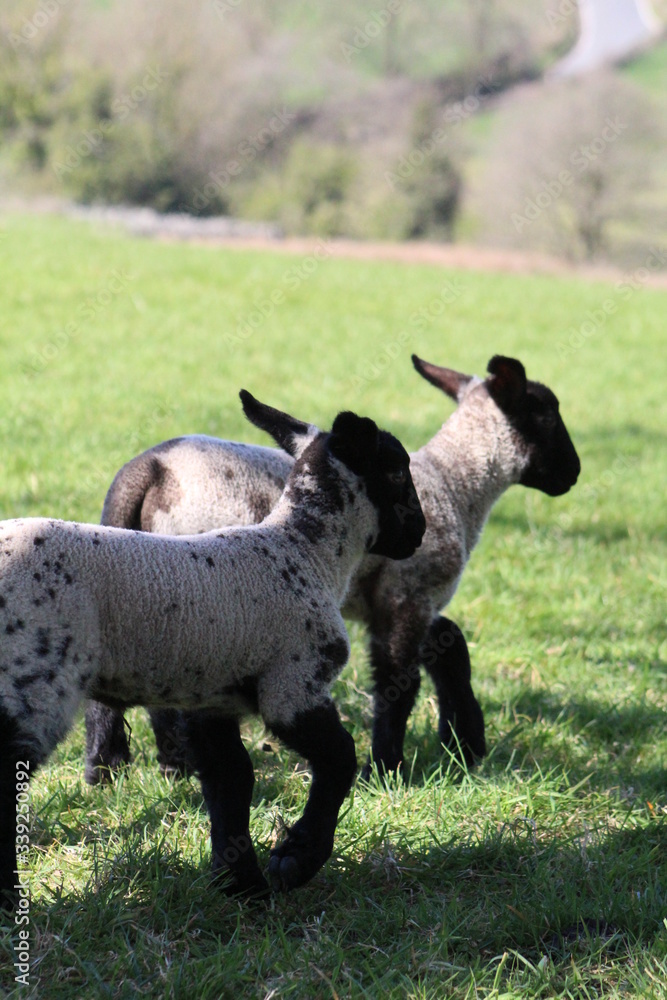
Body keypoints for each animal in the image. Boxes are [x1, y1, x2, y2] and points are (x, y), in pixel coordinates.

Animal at [0, 392, 426, 908]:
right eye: (397, 470)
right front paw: (295, 861)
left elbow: (232, 782)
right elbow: (340, 757)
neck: (307, 552)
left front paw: (242, 886)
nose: (420, 531)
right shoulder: (293, 683)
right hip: (32, 677)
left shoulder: (212, 698)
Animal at [86, 354, 581, 785]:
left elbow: (450, 645)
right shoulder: (407, 594)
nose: (573, 474)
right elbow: (400, 680)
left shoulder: (399, 601)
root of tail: (149, 468)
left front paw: (464, 745)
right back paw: (174, 765)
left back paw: (109, 766)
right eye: (546, 414)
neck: (455, 486)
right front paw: (387, 769)